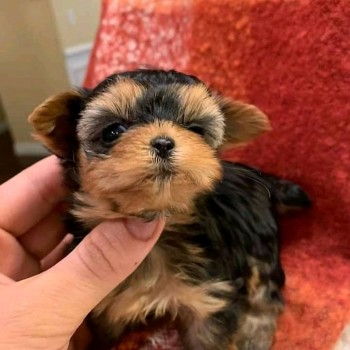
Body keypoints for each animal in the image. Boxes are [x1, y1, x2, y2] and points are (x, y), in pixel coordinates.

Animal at [28, 69, 310, 350]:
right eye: (113, 131)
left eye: (196, 130)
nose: (163, 143)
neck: (163, 224)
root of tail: (265, 180)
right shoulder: (107, 303)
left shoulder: (212, 298)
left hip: (259, 241)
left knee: (265, 290)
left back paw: (255, 334)